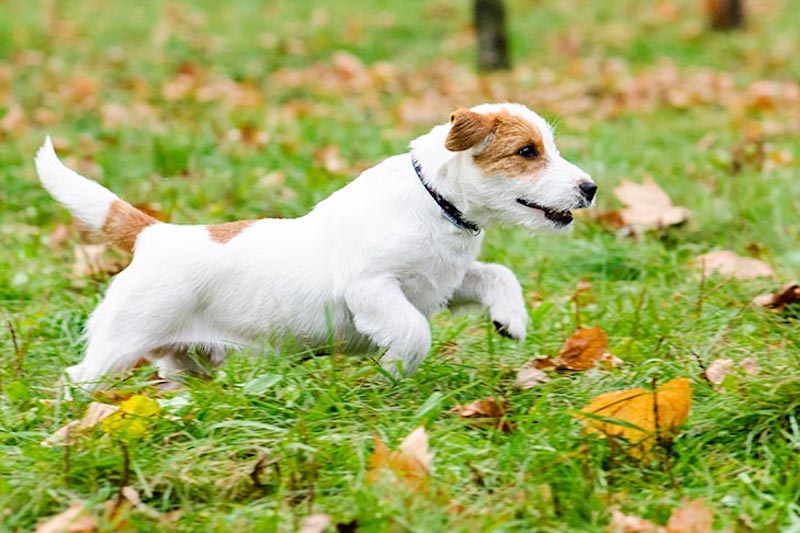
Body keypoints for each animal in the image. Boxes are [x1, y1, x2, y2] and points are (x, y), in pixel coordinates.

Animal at [36, 101, 592, 390]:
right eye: (527, 152)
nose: (590, 188)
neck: (435, 202)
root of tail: (154, 233)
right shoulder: (372, 289)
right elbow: (414, 333)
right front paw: (391, 373)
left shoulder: (443, 283)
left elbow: (496, 273)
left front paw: (510, 318)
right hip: (117, 347)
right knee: (77, 377)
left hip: (188, 356)